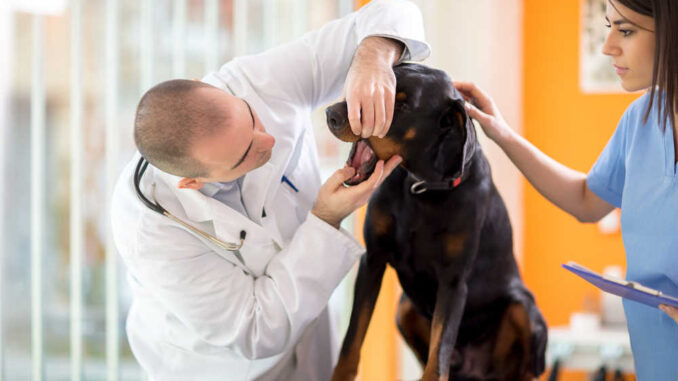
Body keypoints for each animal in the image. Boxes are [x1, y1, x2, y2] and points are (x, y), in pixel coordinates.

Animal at [326, 63, 548, 378]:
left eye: (402, 105)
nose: (331, 114)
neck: (421, 188)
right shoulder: (373, 259)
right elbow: (352, 340)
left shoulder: (453, 281)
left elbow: (438, 355)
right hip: (404, 308)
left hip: (524, 309)